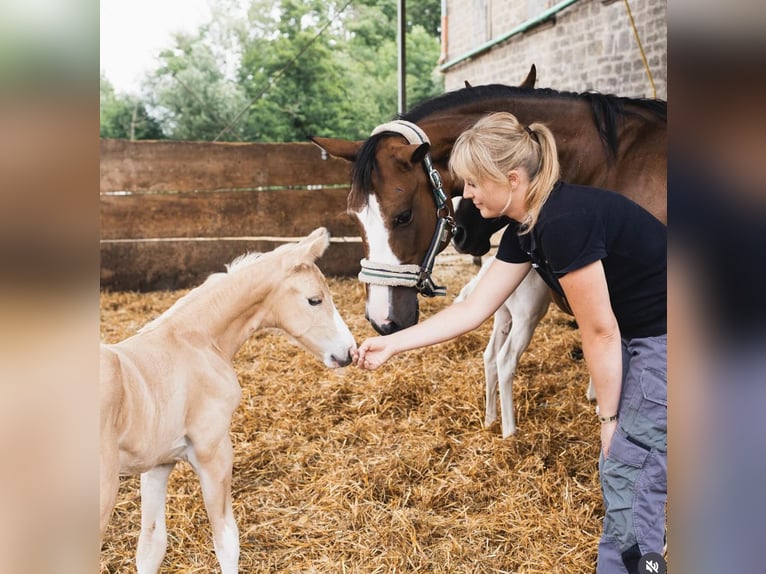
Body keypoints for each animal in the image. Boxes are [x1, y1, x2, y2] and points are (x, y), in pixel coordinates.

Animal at [99, 227, 356, 574]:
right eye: (314, 299)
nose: (348, 352)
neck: (197, 341)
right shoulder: (213, 451)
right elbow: (227, 540)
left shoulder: (158, 463)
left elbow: (151, 546)